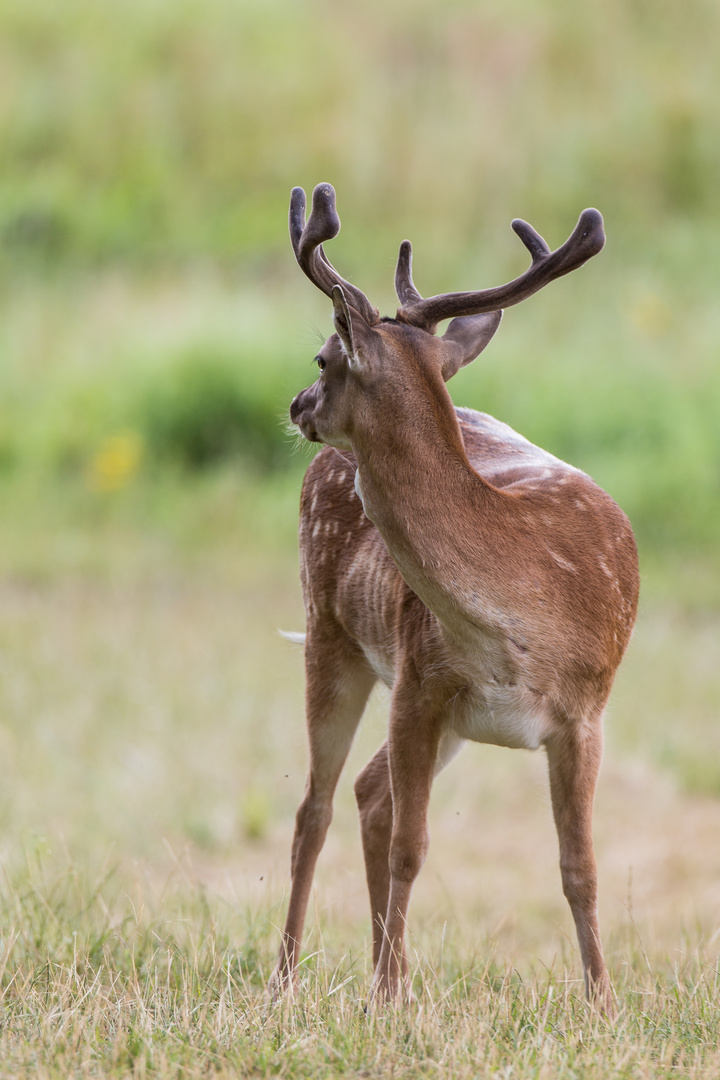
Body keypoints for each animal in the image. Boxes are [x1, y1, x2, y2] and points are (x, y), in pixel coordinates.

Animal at [273, 185, 639, 1010]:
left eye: (322, 357)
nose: (297, 403)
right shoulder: (419, 681)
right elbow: (413, 847)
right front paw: (384, 998)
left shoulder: (586, 714)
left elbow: (582, 869)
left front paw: (604, 1004)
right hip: (328, 631)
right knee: (316, 808)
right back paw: (288, 978)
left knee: (366, 793)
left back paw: (387, 974)